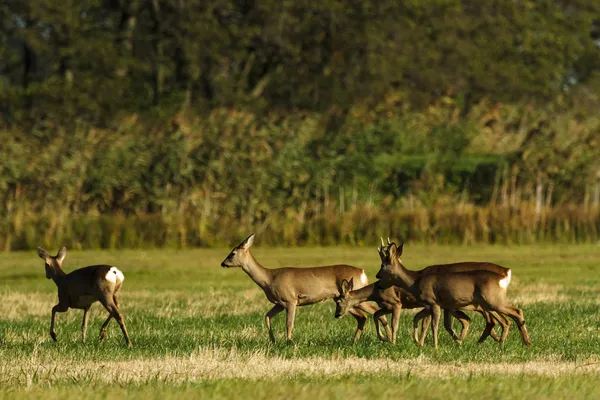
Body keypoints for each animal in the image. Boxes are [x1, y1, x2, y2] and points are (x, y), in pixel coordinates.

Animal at [220, 234, 394, 344]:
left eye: (232, 253)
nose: (223, 263)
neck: (268, 278)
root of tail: (362, 272)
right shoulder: (279, 303)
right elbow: (267, 317)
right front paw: (273, 341)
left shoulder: (290, 299)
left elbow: (289, 323)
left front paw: (289, 342)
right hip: (345, 300)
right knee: (362, 317)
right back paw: (356, 341)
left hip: (355, 296)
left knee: (374, 311)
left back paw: (388, 339)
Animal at [376, 241, 528, 346]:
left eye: (383, 265)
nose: (377, 278)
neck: (416, 281)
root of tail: (503, 276)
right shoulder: (437, 305)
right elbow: (426, 322)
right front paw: (421, 343)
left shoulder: (434, 302)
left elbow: (434, 325)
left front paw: (434, 346)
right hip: (488, 303)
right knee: (509, 316)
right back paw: (523, 342)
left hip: (493, 300)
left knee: (514, 313)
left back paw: (511, 342)